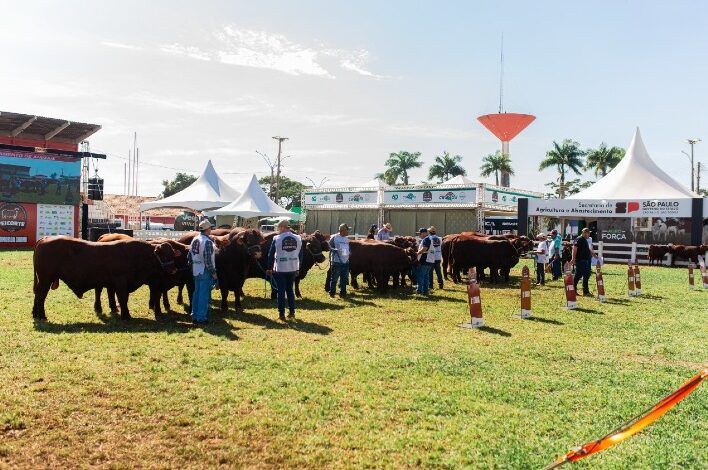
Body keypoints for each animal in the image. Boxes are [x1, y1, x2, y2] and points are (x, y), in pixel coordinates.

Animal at [32, 236, 180, 320]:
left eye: (173, 254)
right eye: (163, 255)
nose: (173, 270)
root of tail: (44, 239)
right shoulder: (121, 282)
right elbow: (123, 298)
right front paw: (126, 316)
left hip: (43, 280)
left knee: (37, 295)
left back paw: (35, 313)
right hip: (45, 280)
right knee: (41, 296)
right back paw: (42, 315)